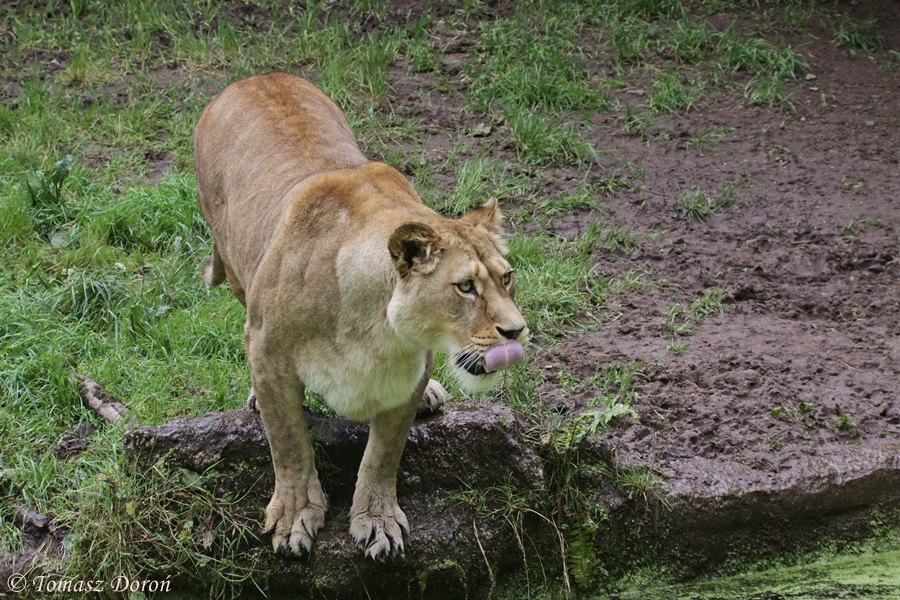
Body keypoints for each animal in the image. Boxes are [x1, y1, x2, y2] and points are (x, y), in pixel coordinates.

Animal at [193, 72, 529, 559]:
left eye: (507, 278)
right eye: (465, 287)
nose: (517, 331)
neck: (378, 331)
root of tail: (257, 76)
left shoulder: (410, 372)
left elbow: (383, 453)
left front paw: (377, 522)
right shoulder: (267, 348)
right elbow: (289, 443)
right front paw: (295, 516)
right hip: (235, 262)